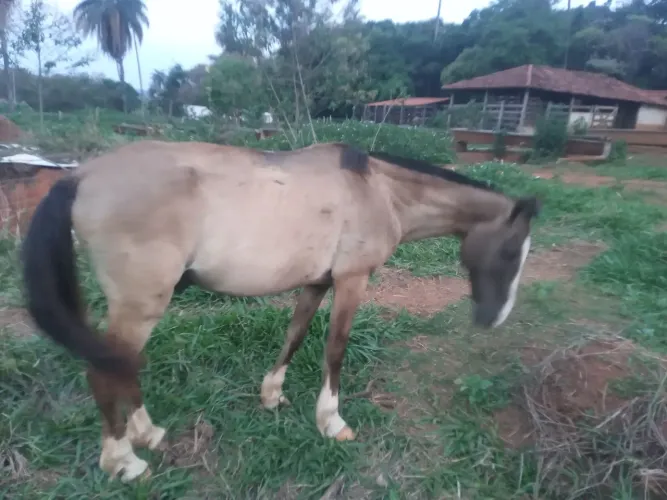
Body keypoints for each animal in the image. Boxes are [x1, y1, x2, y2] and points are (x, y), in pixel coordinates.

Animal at [21, 140, 540, 482]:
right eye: (510, 250)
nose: (493, 318)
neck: (379, 190)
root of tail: (79, 176)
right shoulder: (351, 280)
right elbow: (335, 348)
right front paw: (331, 421)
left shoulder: (317, 281)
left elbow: (295, 333)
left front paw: (272, 395)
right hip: (140, 305)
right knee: (103, 372)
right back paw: (124, 461)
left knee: (119, 366)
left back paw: (147, 433)